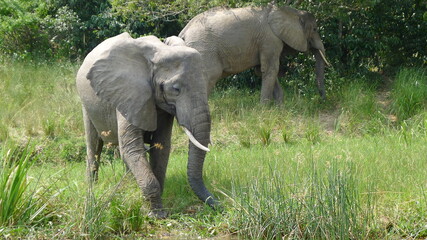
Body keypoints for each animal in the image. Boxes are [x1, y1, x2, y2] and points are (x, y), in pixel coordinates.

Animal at [76, 31, 217, 218]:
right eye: (175, 89)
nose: (220, 205)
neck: (158, 54)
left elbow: (161, 147)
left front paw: (154, 207)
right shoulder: (129, 91)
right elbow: (132, 148)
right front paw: (156, 215)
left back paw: (128, 185)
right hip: (86, 103)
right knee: (94, 146)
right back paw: (92, 188)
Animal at [178, 3, 332, 103]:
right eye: (315, 29)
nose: (322, 100)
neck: (288, 11)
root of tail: (184, 32)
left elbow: (264, 71)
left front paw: (279, 109)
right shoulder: (270, 40)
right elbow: (270, 69)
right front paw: (264, 111)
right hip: (204, 49)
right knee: (208, 77)